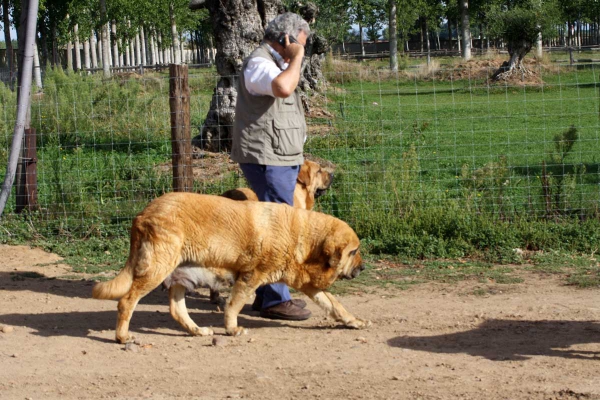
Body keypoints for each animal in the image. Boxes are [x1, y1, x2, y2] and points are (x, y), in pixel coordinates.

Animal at [92, 192, 370, 342]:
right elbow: (234, 305)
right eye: (353, 252)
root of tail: (141, 214)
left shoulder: (311, 285)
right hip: (157, 269)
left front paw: (354, 321)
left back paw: (196, 331)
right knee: (126, 302)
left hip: (178, 275)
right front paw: (232, 328)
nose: (363, 268)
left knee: (176, 309)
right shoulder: (249, 277)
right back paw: (122, 337)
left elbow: (335, 305)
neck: (304, 238)